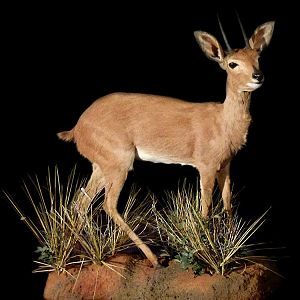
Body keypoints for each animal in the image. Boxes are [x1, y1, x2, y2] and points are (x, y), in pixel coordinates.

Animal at [56, 18, 274, 268]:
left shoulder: (226, 166)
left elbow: (228, 202)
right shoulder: (206, 167)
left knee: (80, 203)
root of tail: (77, 126)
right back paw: (154, 258)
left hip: (101, 167)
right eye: (232, 64)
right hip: (119, 165)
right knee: (107, 205)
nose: (258, 76)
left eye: (258, 57)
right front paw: (203, 253)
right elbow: (206, 206)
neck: (223, 121)